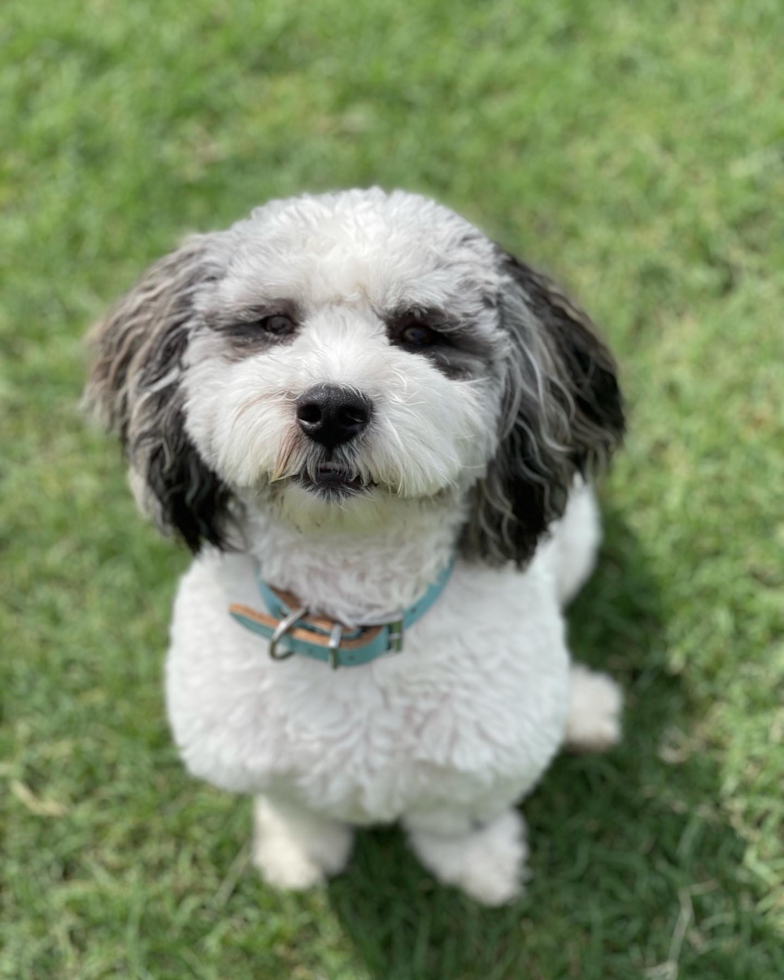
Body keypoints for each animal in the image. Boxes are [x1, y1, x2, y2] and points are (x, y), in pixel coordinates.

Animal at [86, 186, 624, 904]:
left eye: (419, 333)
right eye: (274, 325)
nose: (332, 409)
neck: (346, 619)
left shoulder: (484, 755)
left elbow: (449, 816)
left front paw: (479, 863)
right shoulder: (247, 752)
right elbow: (295, 806)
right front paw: (300, 853)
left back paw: (585, 708)